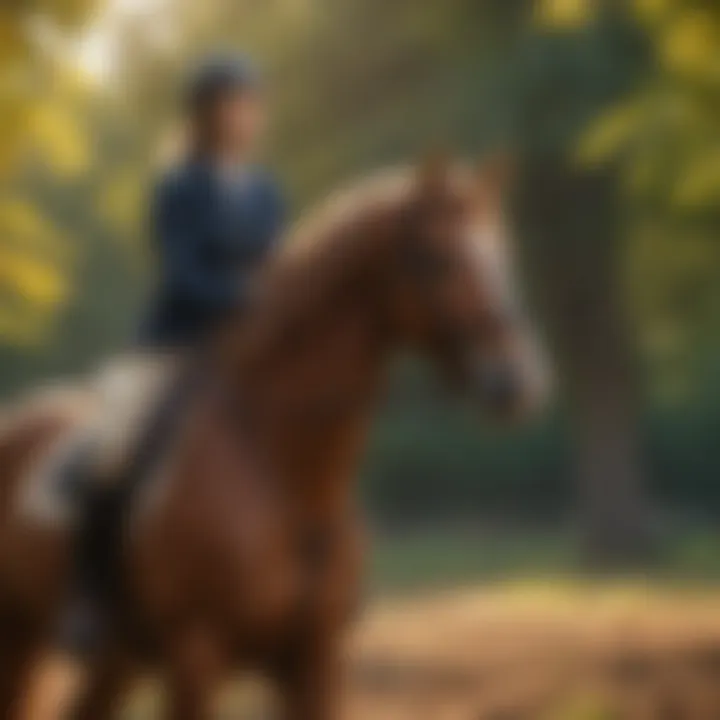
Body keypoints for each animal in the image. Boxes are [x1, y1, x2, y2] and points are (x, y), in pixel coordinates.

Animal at [0, 159, 544, 720]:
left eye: (502, 257)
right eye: (435, 259)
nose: (518, 381)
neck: (289, 479)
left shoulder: (316, 660)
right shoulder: (197, 655)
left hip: (114, 659)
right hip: (18, 639)